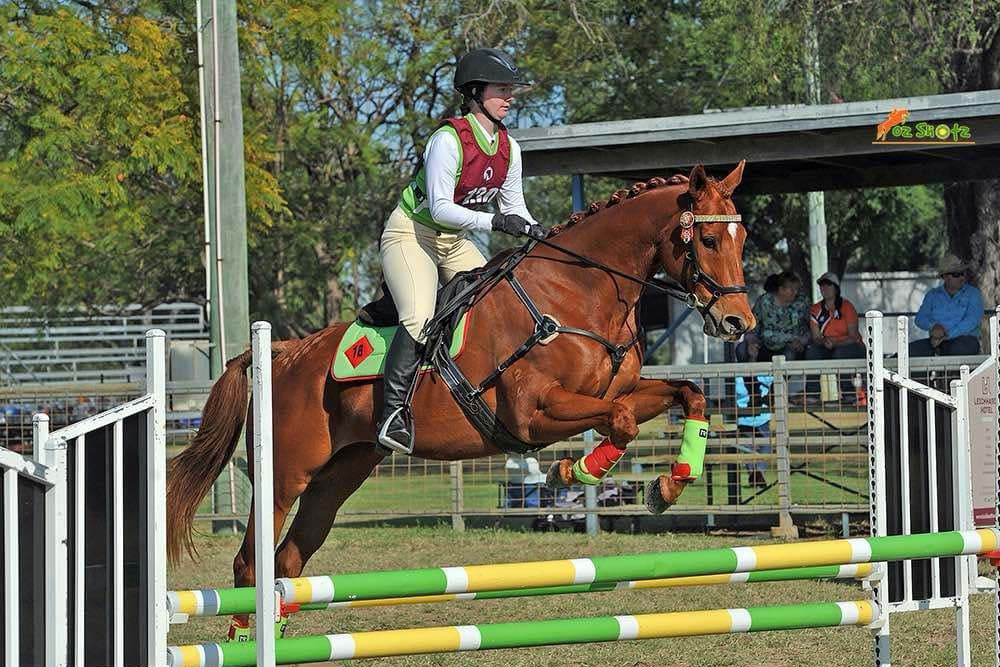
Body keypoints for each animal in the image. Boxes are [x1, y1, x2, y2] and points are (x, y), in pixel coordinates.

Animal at [168, 162, 752, 632]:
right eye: (707, 242)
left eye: (742, 238)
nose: (736, 322)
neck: (577, 294)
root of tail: (282, 352)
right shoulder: (533, 413)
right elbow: (624, 421)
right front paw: (572, 473)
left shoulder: (620, 389)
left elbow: (686, 395)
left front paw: (668, 485)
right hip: (285, 476)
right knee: (251, 563)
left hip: (340, 475)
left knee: (288, 561)